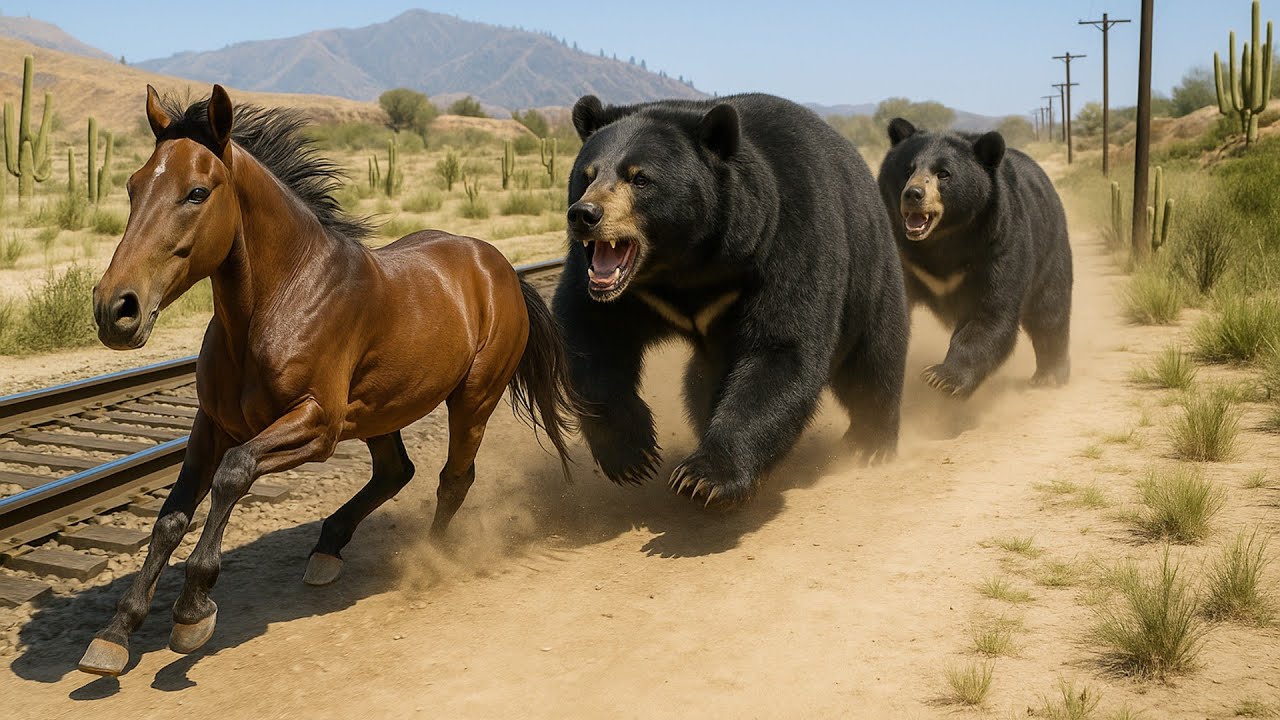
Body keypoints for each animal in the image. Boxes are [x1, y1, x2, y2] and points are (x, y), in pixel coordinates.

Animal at [78, 84, 580, 677]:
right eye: (133, 186)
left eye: (196, 192)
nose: (116, 309)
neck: (282, 299)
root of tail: (500, 267)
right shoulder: (211, 424)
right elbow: (169, 518)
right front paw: (117, 631)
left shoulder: (315, 425)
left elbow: (233, 473)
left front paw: (193, 609)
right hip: (381, 411)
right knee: (396, 471)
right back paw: (328, 549)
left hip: (472, 401)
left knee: (452, 479)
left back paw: (430, 559)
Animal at [551, 93, 909, 508]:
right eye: (587, 175)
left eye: (639, 178)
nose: (584, 215)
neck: (685, 265)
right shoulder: (623, 291)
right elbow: (589, 334)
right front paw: (632, 454)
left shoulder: (784, 242)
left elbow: (781, 348)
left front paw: (704, 478)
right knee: (700, 383)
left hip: (871, 273)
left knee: (874, 362)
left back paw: (871, 443)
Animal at [876, 118, 1072, 398]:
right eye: (907, 169)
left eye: (943, 173)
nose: (913, 194)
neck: (943, 238)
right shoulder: (904, 257)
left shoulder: (998, 244)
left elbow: (990, 313)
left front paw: (941, 377)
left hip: (1050, 248)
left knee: (1050, 310)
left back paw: (1050, 375)